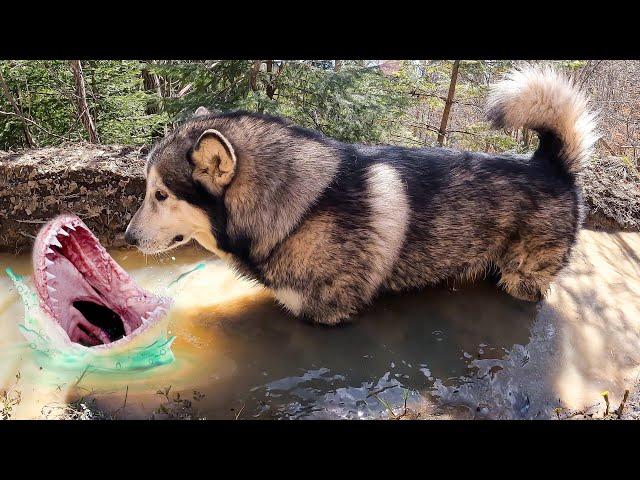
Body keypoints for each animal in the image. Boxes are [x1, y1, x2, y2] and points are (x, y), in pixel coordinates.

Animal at [126, 63, 600, 324]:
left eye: (161, 195)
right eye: (148, 190)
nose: (128, 238)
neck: (300, 209)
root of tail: (550, 163)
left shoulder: (322, 315)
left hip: (522, 280)